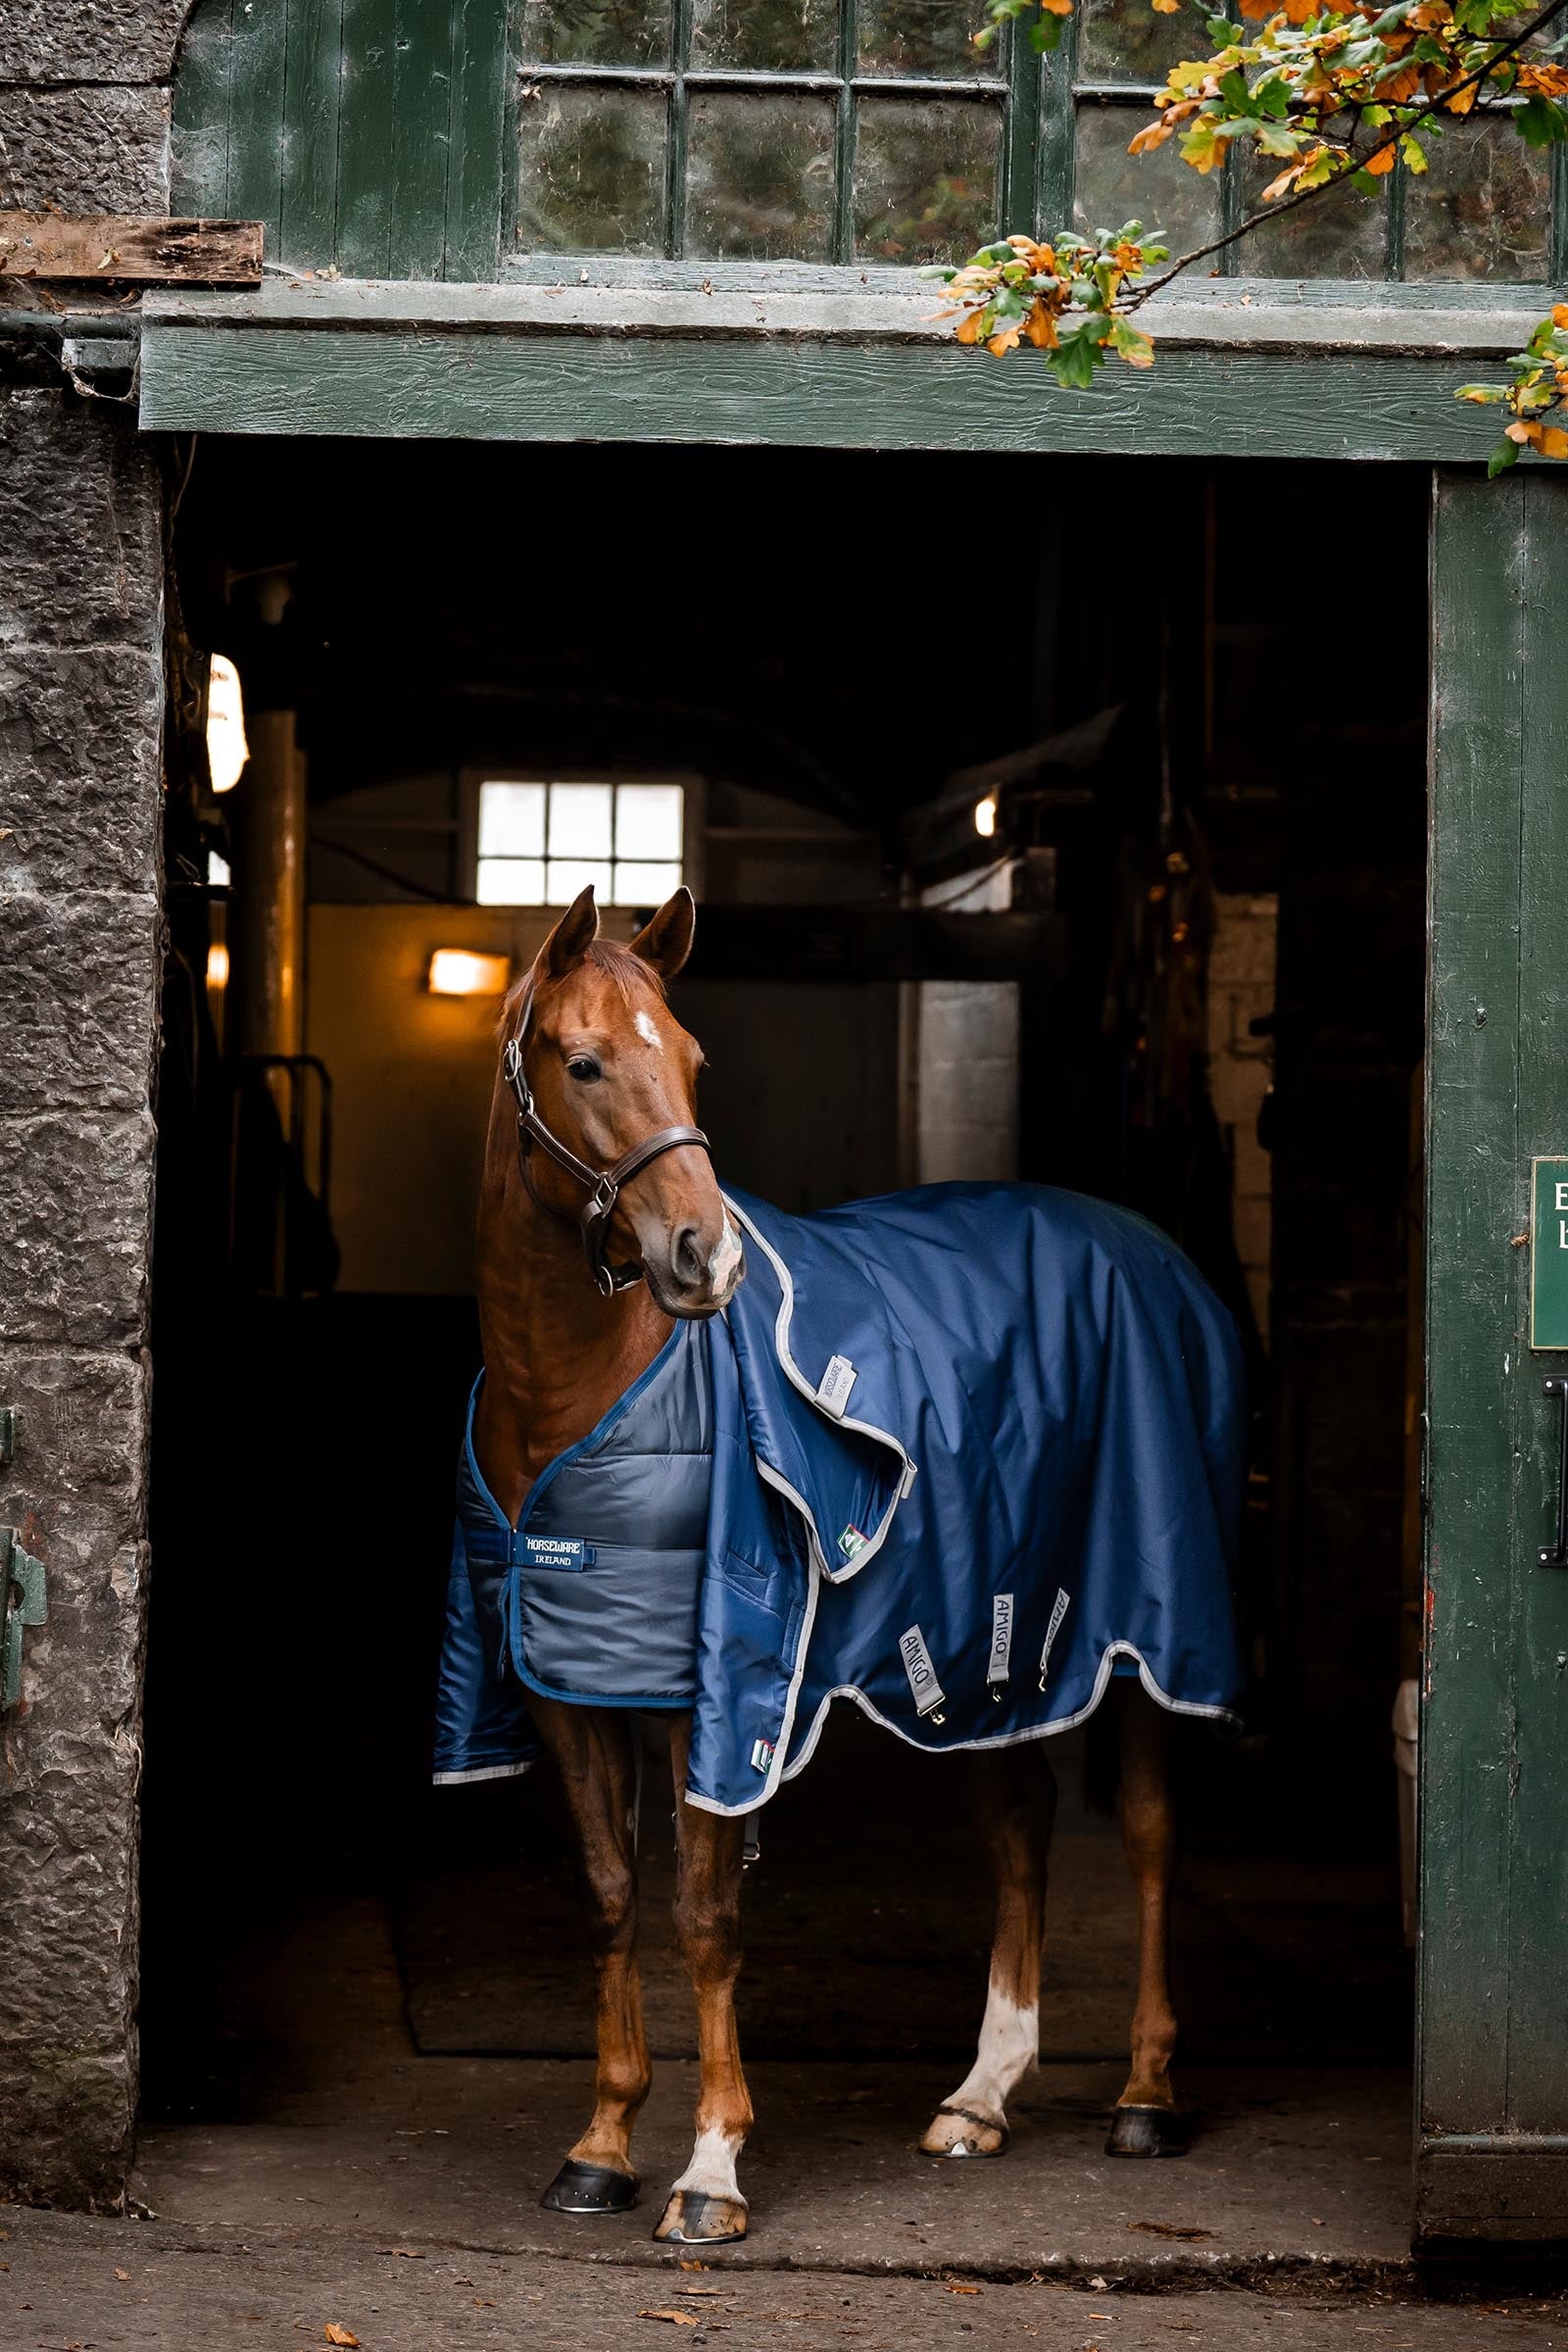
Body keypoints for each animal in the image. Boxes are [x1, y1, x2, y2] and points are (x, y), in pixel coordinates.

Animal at [455, 881, 1239, 2247]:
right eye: (585, 1061)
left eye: (695, 1060)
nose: (704, 1258)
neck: (578, 1390)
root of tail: (1155, 1252)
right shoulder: (565, 1682)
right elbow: (607, 1896)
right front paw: (600, 2145)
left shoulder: (711, 1694)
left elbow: (704, 1914)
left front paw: (711, 2169)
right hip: (995, 1646)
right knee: (1018, 1821)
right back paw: (979, 2096)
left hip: (1145, 1638)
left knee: (1148, 1832)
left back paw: (1145, 2093)